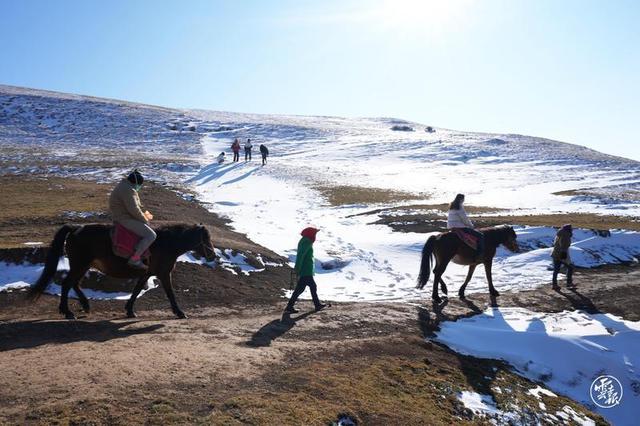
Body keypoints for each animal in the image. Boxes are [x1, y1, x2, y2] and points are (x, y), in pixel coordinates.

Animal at [28, 223, 218, 320]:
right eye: (206, 238)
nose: (213, 255)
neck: (167, 244)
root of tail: (75, 229)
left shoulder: (146, 273)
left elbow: (136, 290)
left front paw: (129, 310)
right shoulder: (163, 274)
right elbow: (170, 293)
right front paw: (179, 312)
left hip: (83, 265)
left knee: (74, 283)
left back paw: (85, 306)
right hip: (80, 264)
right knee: (68, 283)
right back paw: (68, 312)